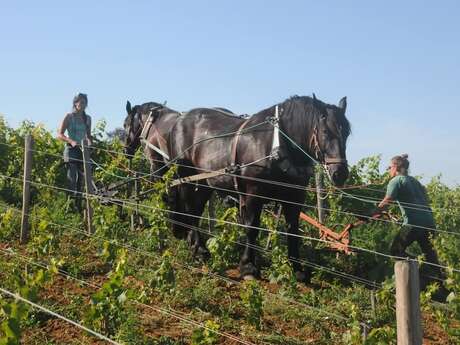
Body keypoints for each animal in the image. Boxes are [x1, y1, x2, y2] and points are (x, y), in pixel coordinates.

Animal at [167, 94, 350, 280]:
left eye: (347, 132)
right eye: (325, 131)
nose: (340, 173)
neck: (276, 144)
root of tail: (179, 120)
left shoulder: (295, 197)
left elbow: (293, 231)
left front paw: (297, 269)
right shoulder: (253, 194)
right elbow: (252, 228)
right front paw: (248, 267)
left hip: (206, 182)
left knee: (196, 210)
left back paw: (197, 246)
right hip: (185, 177)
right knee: (189, 208)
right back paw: (197, 248)